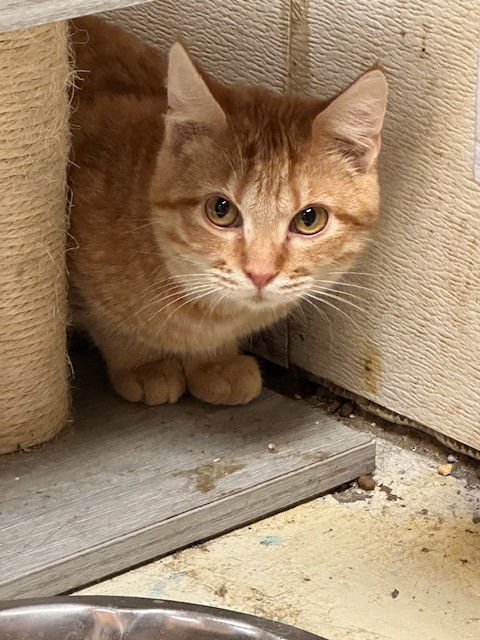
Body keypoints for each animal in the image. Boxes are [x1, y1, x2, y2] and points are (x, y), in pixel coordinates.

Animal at [69, 17, 388, 408]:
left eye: (309, 219)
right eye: (221, 211)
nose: (260, 274)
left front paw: (214, 362)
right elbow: (107, 321)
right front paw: (144, 362)